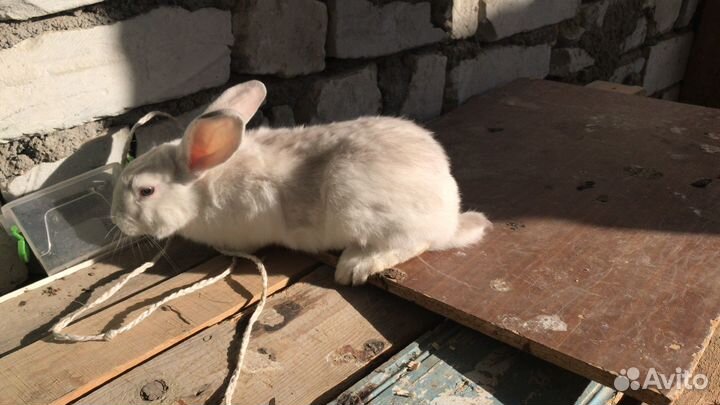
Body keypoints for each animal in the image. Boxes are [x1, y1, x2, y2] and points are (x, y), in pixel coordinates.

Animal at [111, 80, 492, 285]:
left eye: (146, 191)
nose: (116, 219)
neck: (204, 186)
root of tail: (450, 217)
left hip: (364, 208)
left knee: (413, 243)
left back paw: (355, 266)